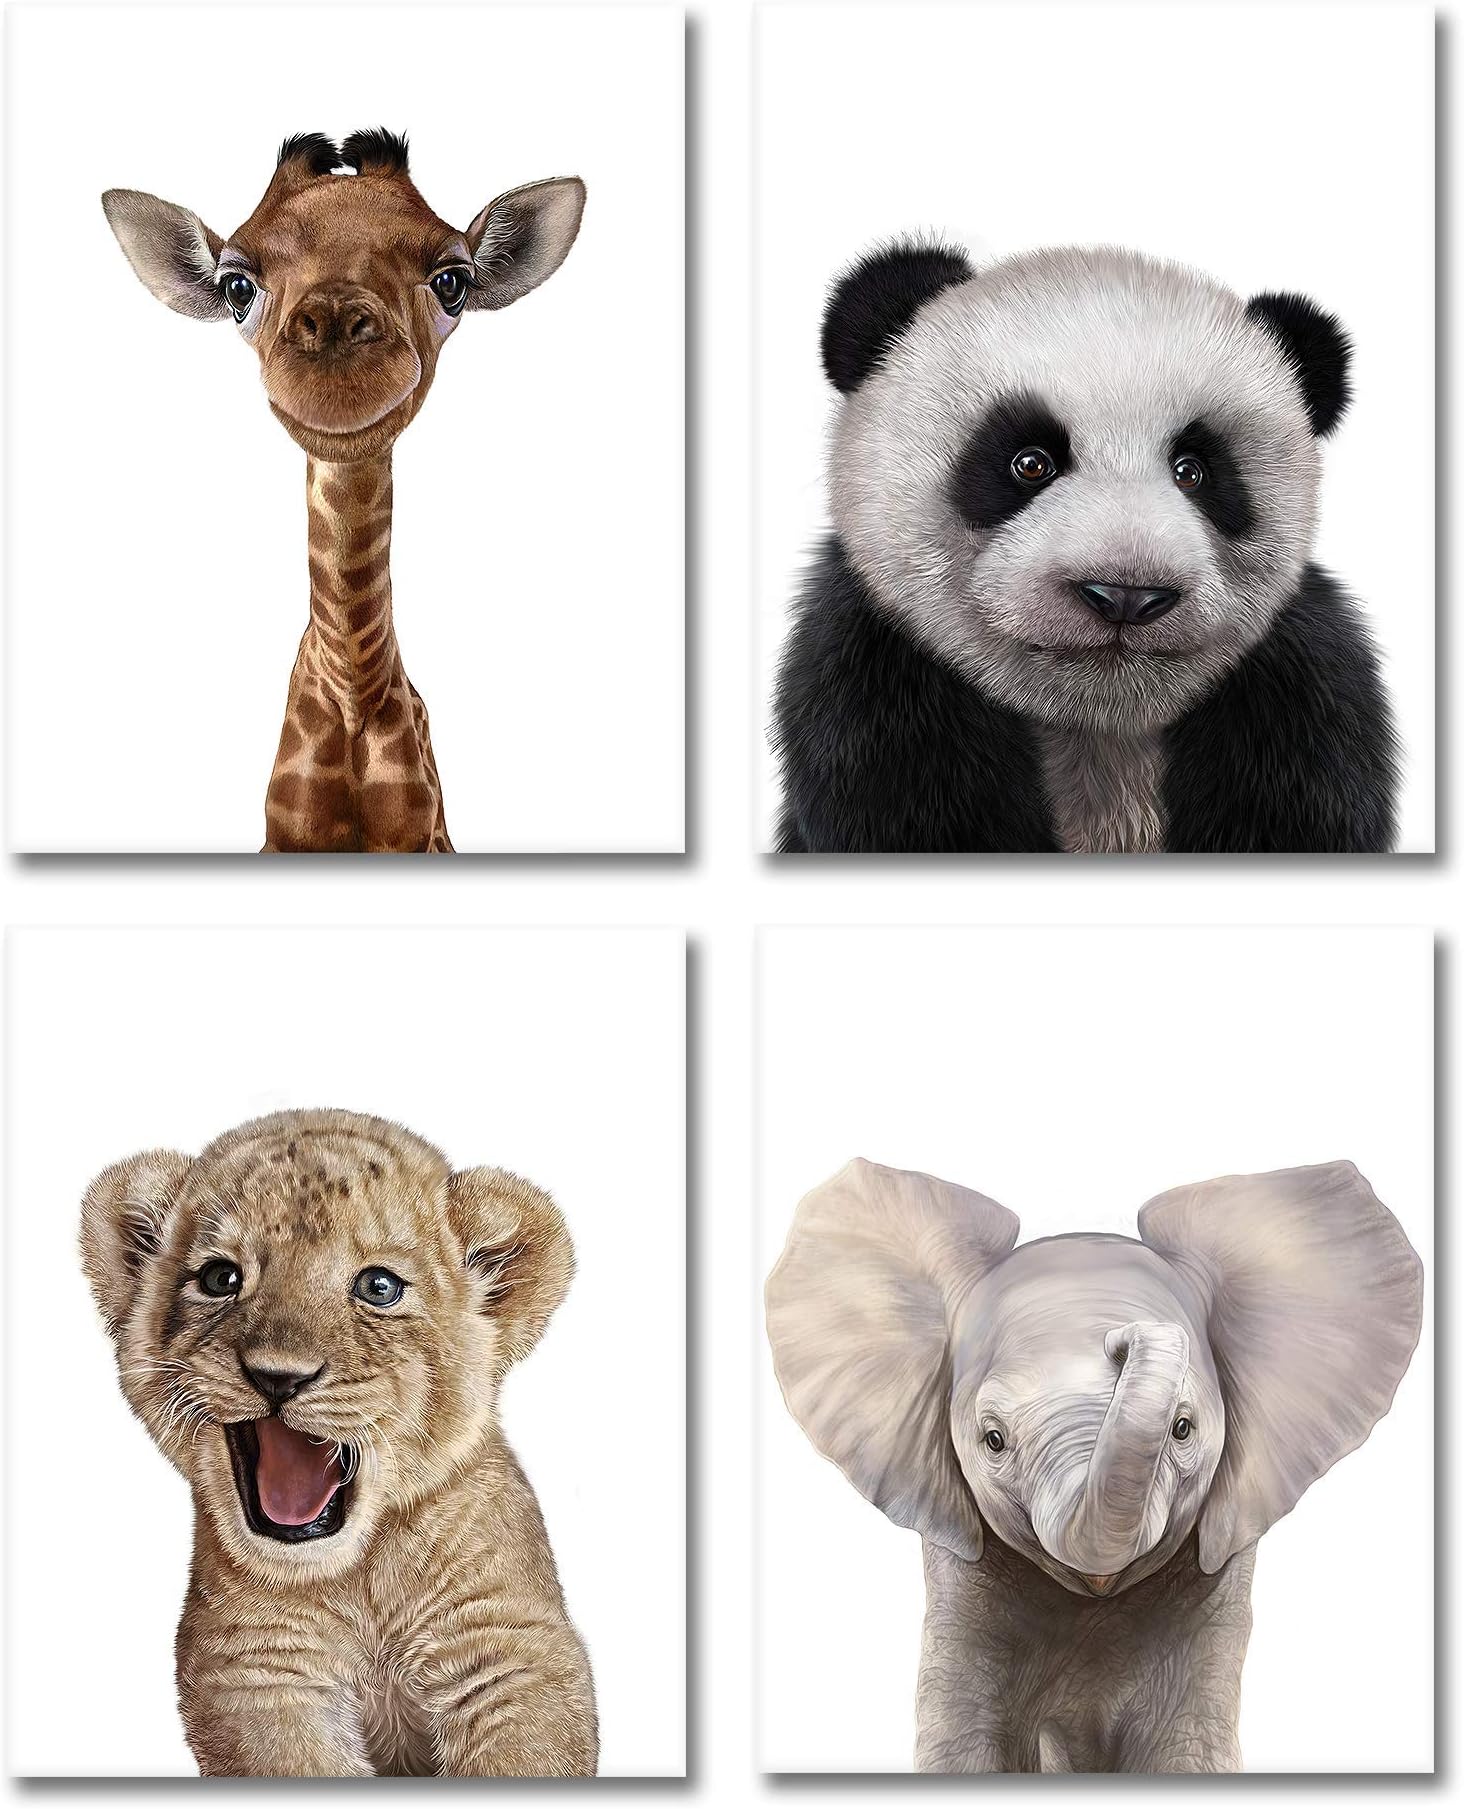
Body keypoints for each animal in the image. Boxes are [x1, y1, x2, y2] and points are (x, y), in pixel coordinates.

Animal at [80, 1108, 597, 1777]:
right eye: (220, 1278)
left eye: (379, 1287)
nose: (279, 1377)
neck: (358, 1581)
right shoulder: (253, 1669)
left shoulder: (511, 1649)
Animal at [102, 130, 585, 852]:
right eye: (235, 285)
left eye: (453, 281)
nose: (337, 370)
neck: (354, 695)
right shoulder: (282, 839)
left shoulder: (420, 838)